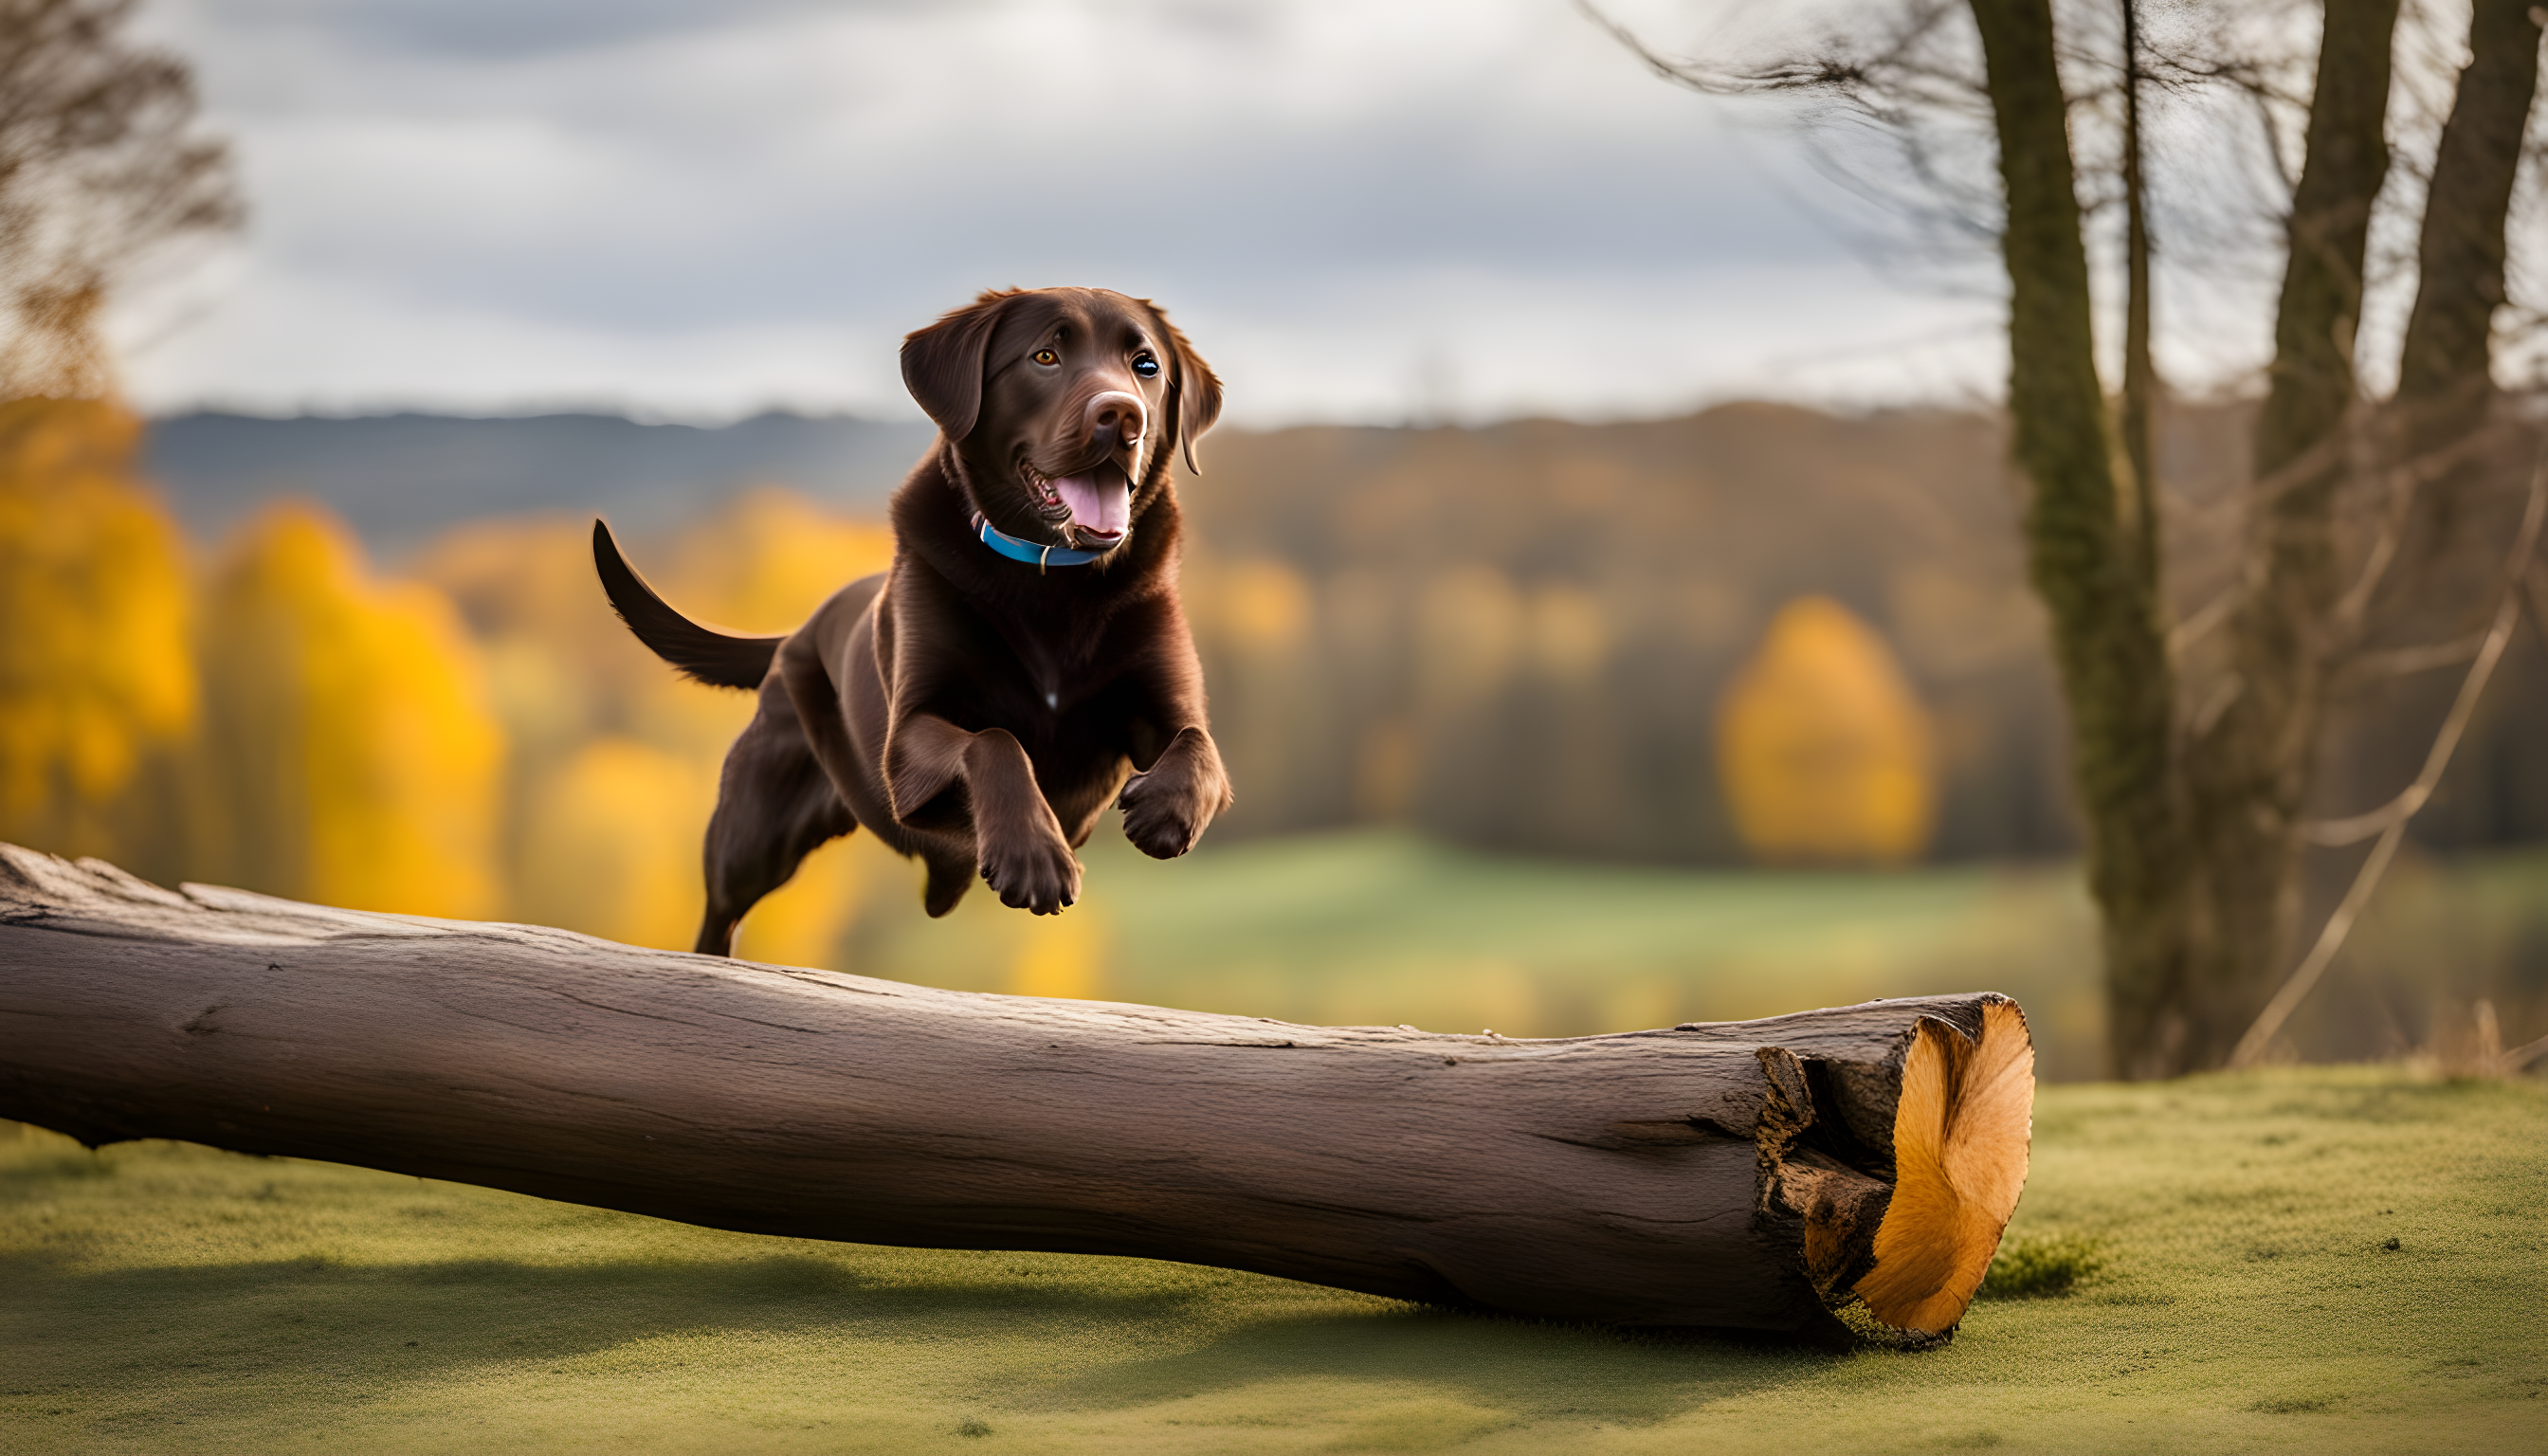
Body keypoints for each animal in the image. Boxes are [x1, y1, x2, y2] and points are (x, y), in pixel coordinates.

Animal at [595, 286, 1232, 958]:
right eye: (1045, 355)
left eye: (1147, 367)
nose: (1123, 415)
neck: (1052, 579)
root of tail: (798, 632)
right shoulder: (908, 738)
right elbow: (995, 741)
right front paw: (1034, 858)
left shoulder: (1166, 707)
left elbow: (1200, 746)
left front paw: (1165, 812)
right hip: (752, 830)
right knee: (720, 912)